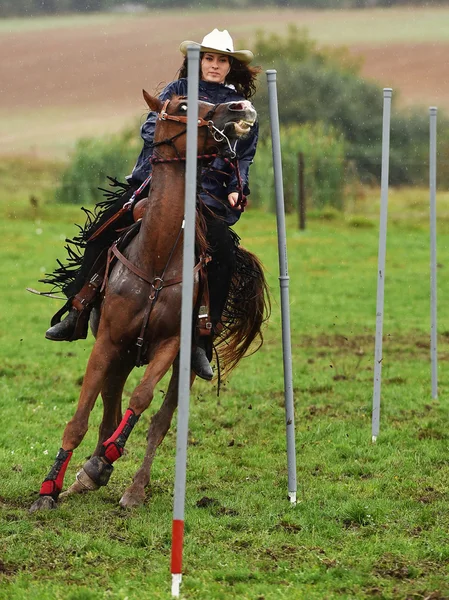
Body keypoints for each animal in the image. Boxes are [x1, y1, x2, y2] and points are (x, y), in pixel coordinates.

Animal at [30, 91, 270, 512]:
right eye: (183, 105)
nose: (240, 107)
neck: (156, 258)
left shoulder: (170, 344)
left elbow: (142, 401)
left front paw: (111, 457)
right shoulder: (108, 342)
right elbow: (80, 419)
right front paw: (49, 489)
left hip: (182, 364)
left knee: (159, 420)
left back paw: (130, 485)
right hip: (122, 355)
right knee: (109, 411)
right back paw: (90, 473)